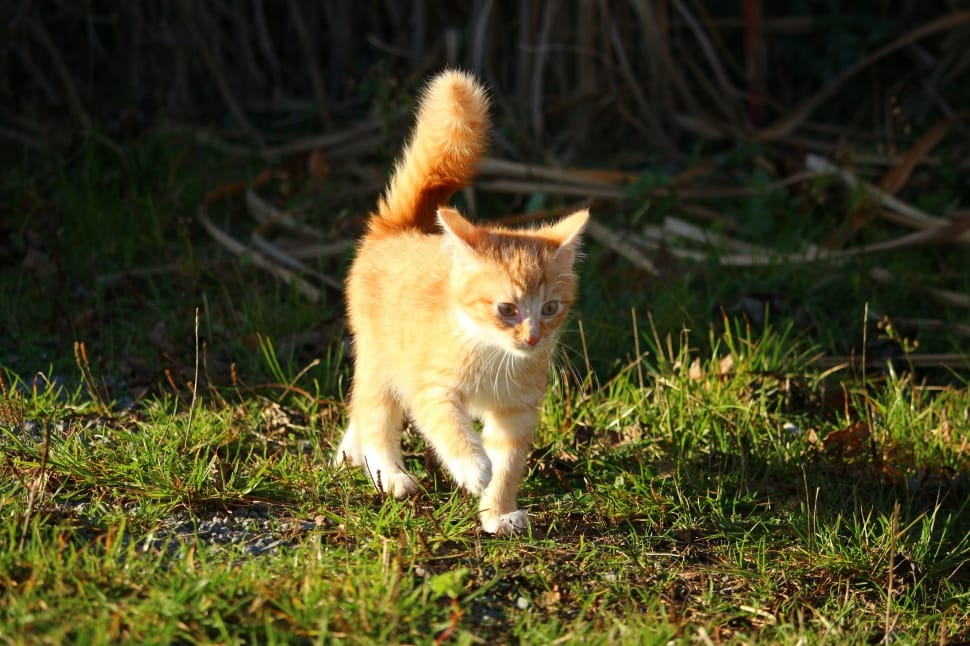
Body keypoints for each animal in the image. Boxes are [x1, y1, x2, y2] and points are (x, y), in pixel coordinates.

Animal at [332, 71, 588, 536]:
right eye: (507, 309)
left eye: (550, 308)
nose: (533, 338)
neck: (493, 355)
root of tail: (399, 228)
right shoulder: (430, 388)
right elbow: (449, 426)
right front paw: (472, 467)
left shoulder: (516, 413)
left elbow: (508, 463)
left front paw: (498, 513)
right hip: (380, 357)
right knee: (375, 414)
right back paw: (389, 474)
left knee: (360, 408)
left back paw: (349, 454)